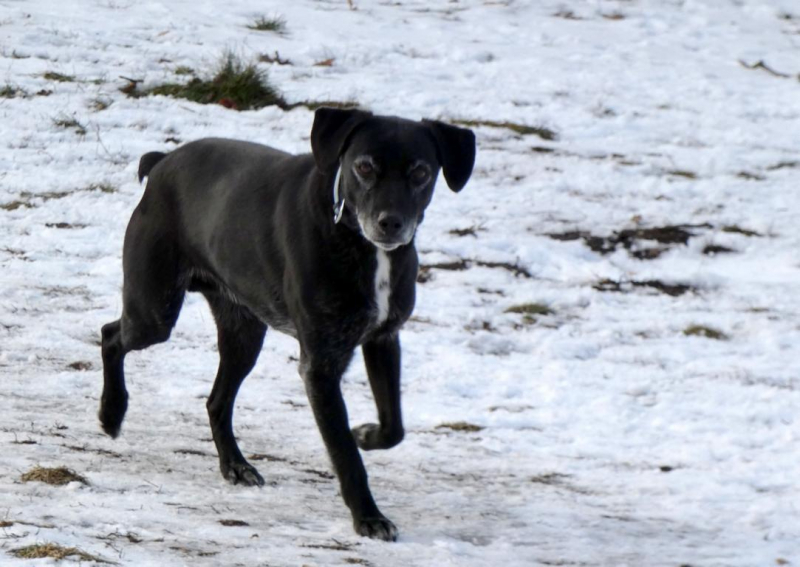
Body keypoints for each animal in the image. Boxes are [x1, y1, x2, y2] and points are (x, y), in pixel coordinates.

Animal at [99, 108, 476, 541]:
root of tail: (161, 163)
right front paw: (368, 517)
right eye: (364, 166)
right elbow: (345, 454)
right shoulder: (321, 366)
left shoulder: (384, 338)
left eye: (420, 172)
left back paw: (236, 465)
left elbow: (393, 425)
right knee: (111, 336)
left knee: (217, 401)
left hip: (244, 333)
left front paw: (367, 434)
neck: (358, 242)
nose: (390, 223)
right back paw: (111, 413)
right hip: (154, 311)